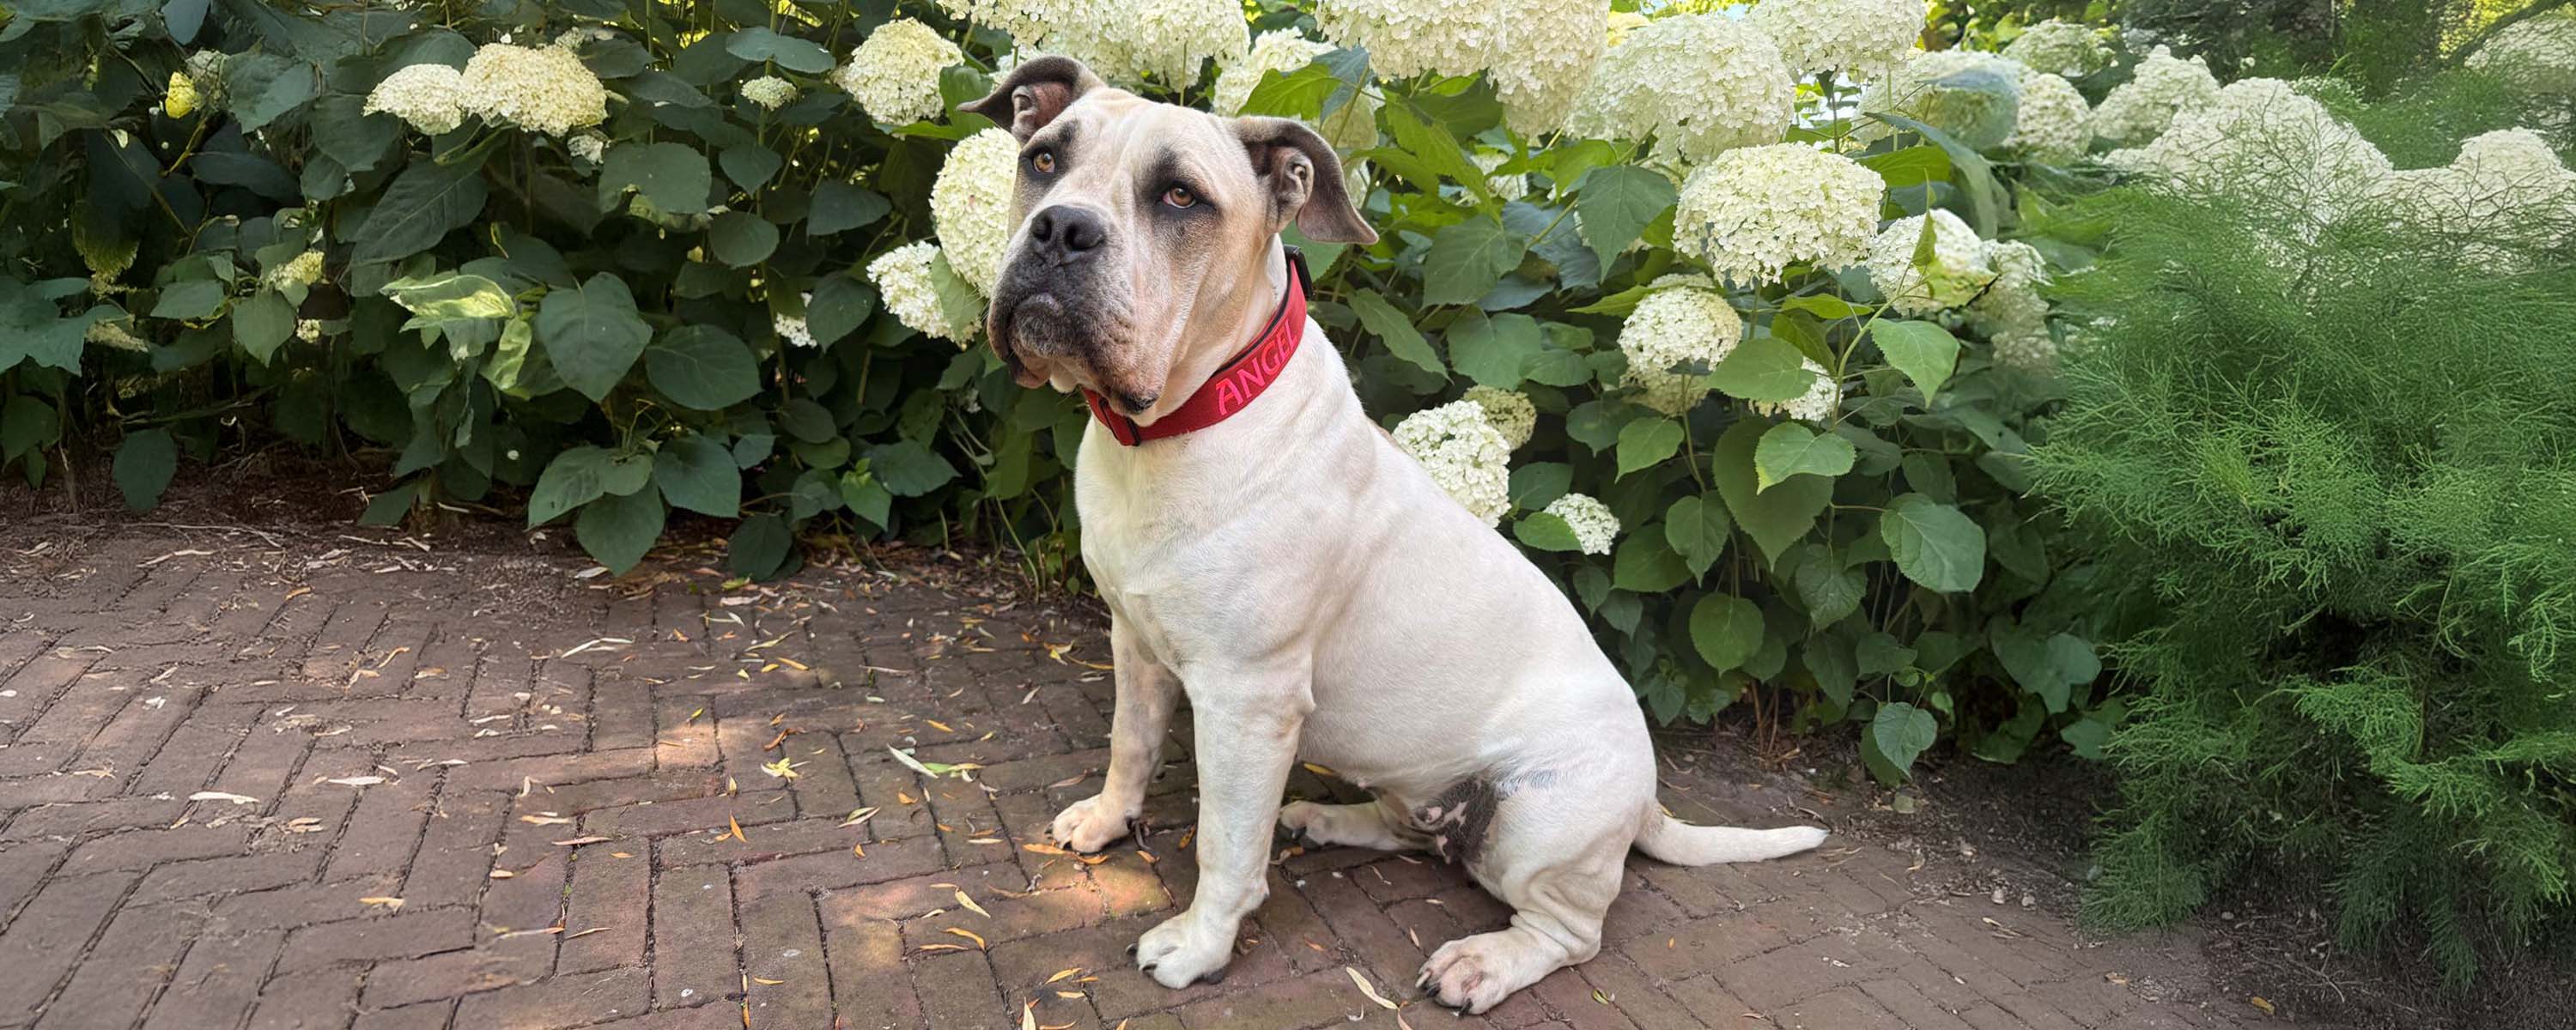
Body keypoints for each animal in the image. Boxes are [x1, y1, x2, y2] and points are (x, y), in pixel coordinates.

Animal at [961, 57, 1829, 1013]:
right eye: (1043, 159)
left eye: (1181, 197)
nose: (1062, 229)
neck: (1174, 431)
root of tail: (1647, 803)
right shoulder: (1135, 640)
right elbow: (1132, 744)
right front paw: (1108, 820)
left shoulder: (1247, 703)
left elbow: (1224, 843)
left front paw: (1200, 944)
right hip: (1417, 780)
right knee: (1412, 829)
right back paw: (1325, 818)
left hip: (1537, 822)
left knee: (1571, 932)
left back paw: (1482, 963)